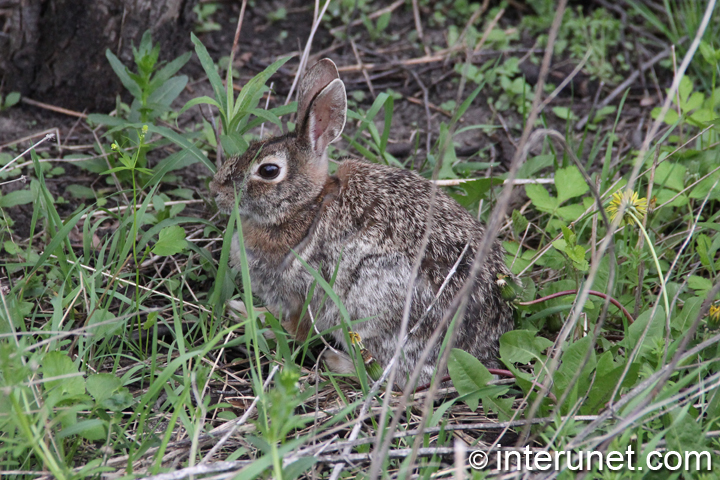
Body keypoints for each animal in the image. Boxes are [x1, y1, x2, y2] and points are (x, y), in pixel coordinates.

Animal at [210, 59, 516, 390]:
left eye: (268, 171)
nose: (216, 190)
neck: (307, 206)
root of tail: (480, 346)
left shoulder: (304, 295)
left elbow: (293, 329)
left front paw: (253, 322)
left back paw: (336, 361)